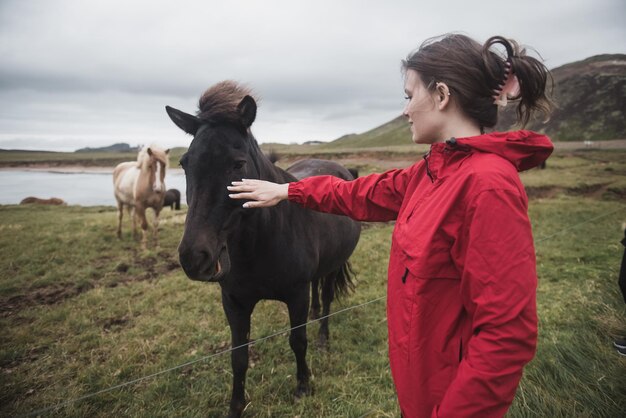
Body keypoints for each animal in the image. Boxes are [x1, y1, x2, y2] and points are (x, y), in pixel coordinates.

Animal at [165, 81, 360, 418]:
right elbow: (238, 355)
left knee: (327, 299)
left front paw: (303, 385)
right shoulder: (234, 301)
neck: (259, 246)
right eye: (184, 163)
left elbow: (298, 340)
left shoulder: (296, 295)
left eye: (238, 164)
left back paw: (324, 337)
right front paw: (236, 405)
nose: (194, 257)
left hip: (334, 266)